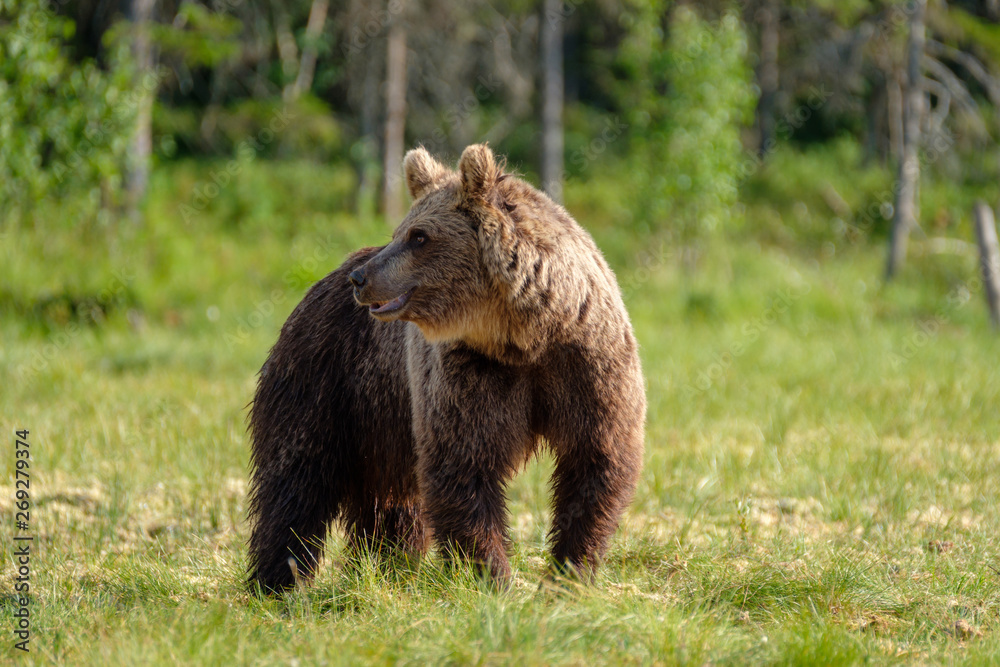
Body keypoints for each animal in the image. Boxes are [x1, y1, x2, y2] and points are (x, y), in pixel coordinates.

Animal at [247, 144, 645, 593]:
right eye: (400, 231)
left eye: (418, 236)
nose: (361, 278)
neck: (524, 337)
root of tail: (319, 283)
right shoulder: (467, 371)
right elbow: (463, 463)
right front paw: (495, 576)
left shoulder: (586, 363)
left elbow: (596, 458)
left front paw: (570, 572)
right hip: (326, 380)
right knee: (297, 476)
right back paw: (279, 579)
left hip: (381, 417)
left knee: (389, 500)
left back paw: (388, 564)